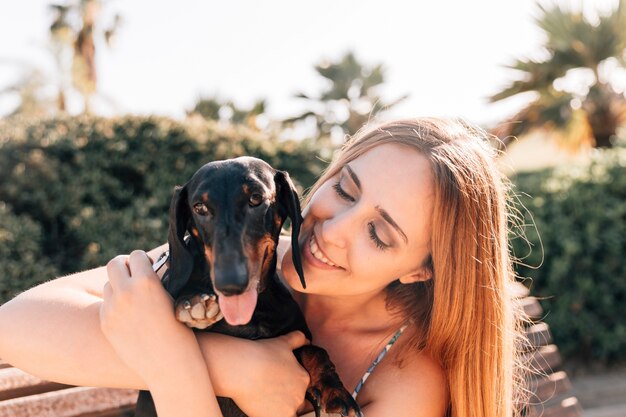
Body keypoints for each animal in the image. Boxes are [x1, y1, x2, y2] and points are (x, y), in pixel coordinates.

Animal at [136, 157, 360, 416]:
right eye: (199, 207)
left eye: (256, 198)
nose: (230, 284)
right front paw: (193, 302)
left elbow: (315, 350)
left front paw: (333, 390)